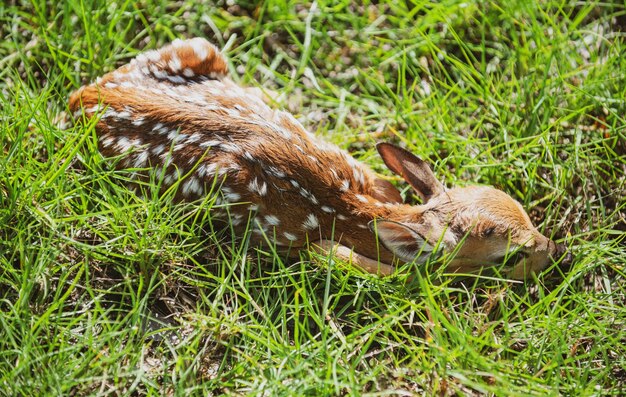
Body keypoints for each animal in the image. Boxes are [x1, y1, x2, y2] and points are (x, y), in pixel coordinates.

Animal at [67, 37, 564, 278]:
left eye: (524, 211)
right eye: (507, 259)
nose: (557, 251)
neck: (345, 210)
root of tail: (85, 95)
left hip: (198, 47)